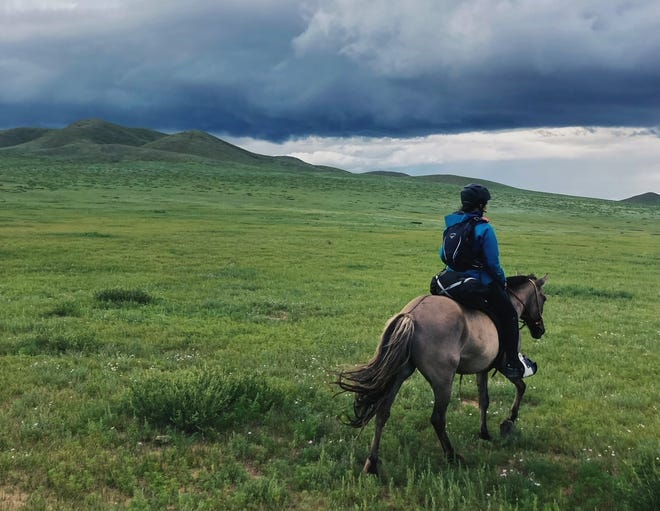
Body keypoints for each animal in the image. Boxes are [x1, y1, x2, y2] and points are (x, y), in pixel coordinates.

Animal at [336, 274, 548, 474]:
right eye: (544, 298)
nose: (540, 330)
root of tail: (411, 315)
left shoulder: (482, 369)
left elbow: (484, 400)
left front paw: (484, 433)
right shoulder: (506, 365)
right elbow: (521, 386)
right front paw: (508, 421)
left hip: (399, 373)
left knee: (382, 411)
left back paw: (372, 463)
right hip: (443, 380)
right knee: (437, 418)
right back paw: (452, 455)